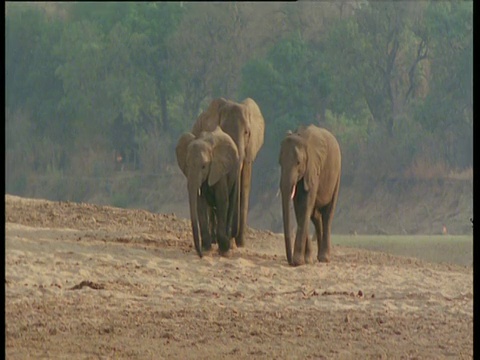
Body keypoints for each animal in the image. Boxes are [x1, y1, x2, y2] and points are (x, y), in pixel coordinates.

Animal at [176, 126, 240, 256]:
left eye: (204, 166)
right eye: (187, 164)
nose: (200, 255)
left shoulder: (219, 169)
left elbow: (222, 200)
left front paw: (224, 248)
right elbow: (200, 203)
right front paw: (206, 248)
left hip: (235, 172)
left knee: (231, 202)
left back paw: (227, 243)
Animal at [191, 96, 266, 248]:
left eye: (247, 132)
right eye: (223, 132)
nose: (232, 234)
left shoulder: (249, 150)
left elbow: (245, 187)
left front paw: (241, 244)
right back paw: (213, 240)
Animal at [278, 125, 342, 266]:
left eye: (298, 163)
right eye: (280, 162)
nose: (290, 261)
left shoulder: (313, 168)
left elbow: (305, 205)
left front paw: (298, 261)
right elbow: (299, 207)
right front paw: (306, 260)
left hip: (337, 176)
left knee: (328, 214)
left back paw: (324, 258)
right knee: (315, 216)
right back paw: (316, 257)